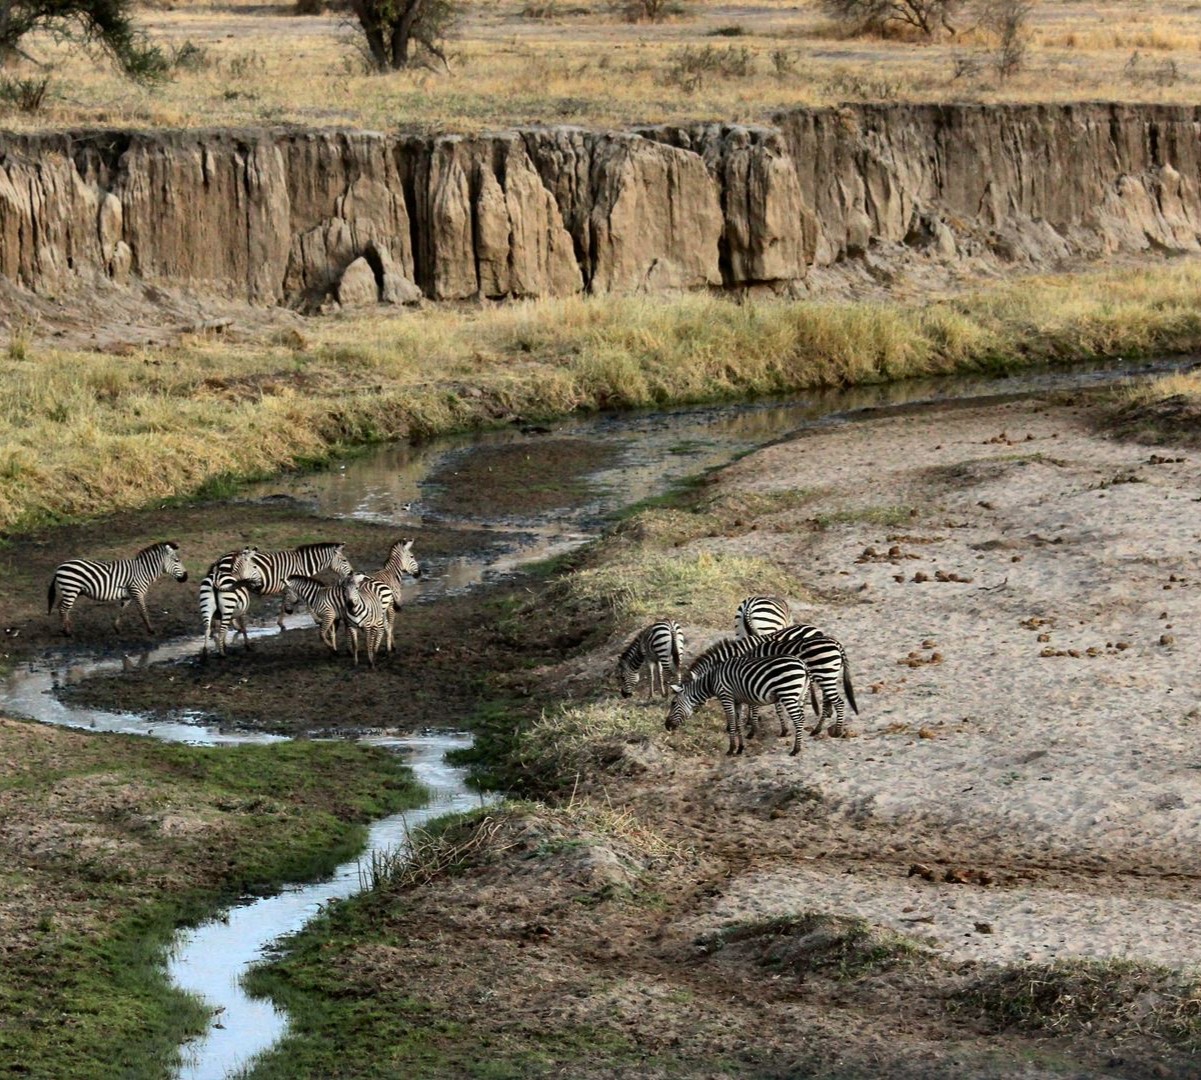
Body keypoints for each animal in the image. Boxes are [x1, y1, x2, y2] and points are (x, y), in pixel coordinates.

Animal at [48, 538, 189, 634]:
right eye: (177, 560)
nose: (186, 577)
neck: (143, 571)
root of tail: (60, 566)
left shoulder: (128, 595)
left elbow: (122, 610)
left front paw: (116, 628)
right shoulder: (137, 592)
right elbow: (143, 611)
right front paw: (151, 630)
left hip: (71, 591)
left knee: (61, 607)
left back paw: (66, 627)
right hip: (71, 589)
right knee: (63, 608)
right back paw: (67, 632)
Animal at [667, 653, 816, 754]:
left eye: (673, 703)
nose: (666, 726)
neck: (711, 681)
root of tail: (803, 664)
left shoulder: (726, 697)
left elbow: (732, 723)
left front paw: (731, 749)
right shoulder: (737, 701)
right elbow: (738, 724)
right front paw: (740, 748)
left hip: (788, 693)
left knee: (798, 719)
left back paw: (796, 749)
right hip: (800, 696)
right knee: (802, 718)